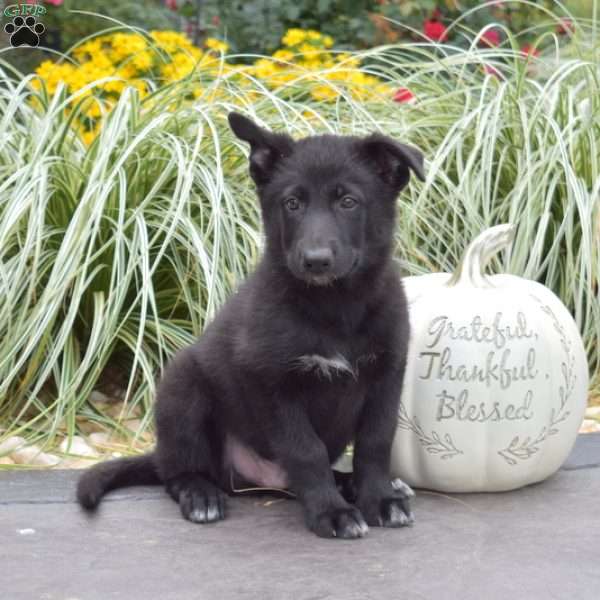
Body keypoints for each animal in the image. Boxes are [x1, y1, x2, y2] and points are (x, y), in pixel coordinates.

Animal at [77, 112, 424, 540]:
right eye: (292, 203)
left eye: (348, 202)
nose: (316, 260)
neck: (335, 305)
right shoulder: (272, 382)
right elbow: (306, 451)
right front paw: (331, 513)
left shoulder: (386, 374)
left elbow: (375, 442)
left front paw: (379, 499)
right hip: (182, 384)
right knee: (178, 471)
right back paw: (201, 495)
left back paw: (357, 486)